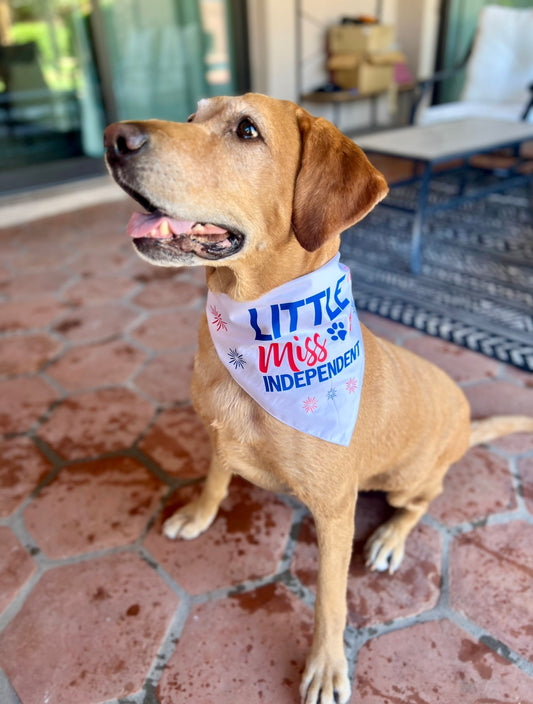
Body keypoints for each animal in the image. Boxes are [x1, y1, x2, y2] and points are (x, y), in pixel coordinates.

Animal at [104, 93, 532, 704]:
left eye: (247, 131)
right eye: (191, 118)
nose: (114, 138)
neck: (256, 327)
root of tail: (466, 423)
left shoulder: (334, 513)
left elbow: (331, 598)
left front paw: (327, 665)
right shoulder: (218, 437)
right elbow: (215, 478)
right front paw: (199, 512)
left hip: (408, 478)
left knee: (424, 500)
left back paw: (390, 539)